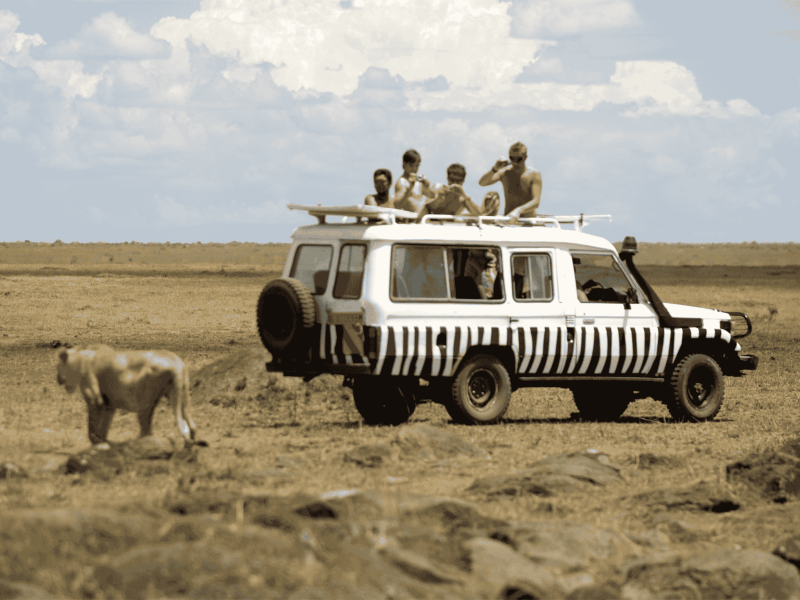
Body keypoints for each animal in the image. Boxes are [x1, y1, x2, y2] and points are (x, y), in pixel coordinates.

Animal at [56, 344, 206, 446]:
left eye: (57, 366)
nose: (57, 379)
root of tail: (177, 364)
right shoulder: (109, 404)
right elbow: (104, 427)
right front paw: (104, 443)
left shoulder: (94, 398)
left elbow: (91, 427)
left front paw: (97, 442)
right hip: (181, 393)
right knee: (191, 427)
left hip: (145, 401)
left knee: (149, 430)